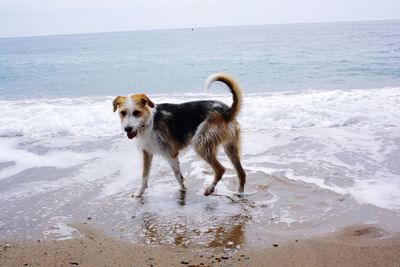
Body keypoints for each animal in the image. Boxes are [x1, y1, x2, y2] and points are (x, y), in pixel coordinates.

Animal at [111, 72, 245, 198]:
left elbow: (177, 175)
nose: (127, 129)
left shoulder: (171, 152)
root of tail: (227, 111)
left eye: (136, 112)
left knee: (220, 169)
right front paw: (139, 193)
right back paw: (240, 193)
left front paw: (183, 189)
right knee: (241, 172)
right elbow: (144, 176)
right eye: (123, 113)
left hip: (200, 142)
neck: (148, 122)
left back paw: (210, 189)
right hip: (230, 146)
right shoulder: (147, 153)